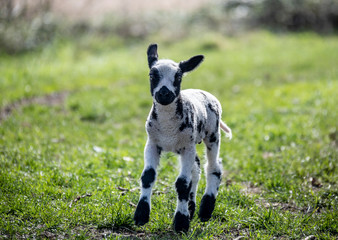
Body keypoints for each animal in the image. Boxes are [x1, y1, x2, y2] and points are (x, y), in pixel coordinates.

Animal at [133, 43, 231, 232]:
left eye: (178, 76)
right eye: (152, 75)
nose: (164, 94)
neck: (168, 128)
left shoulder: (187, 146)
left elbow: (182, 184)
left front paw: (180, 222)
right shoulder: (152, 143)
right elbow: (148, 176)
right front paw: (141, 215)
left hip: (212, 134)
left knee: (213, 167)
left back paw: (205, 209)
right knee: (196, 169)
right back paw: (192, 208)